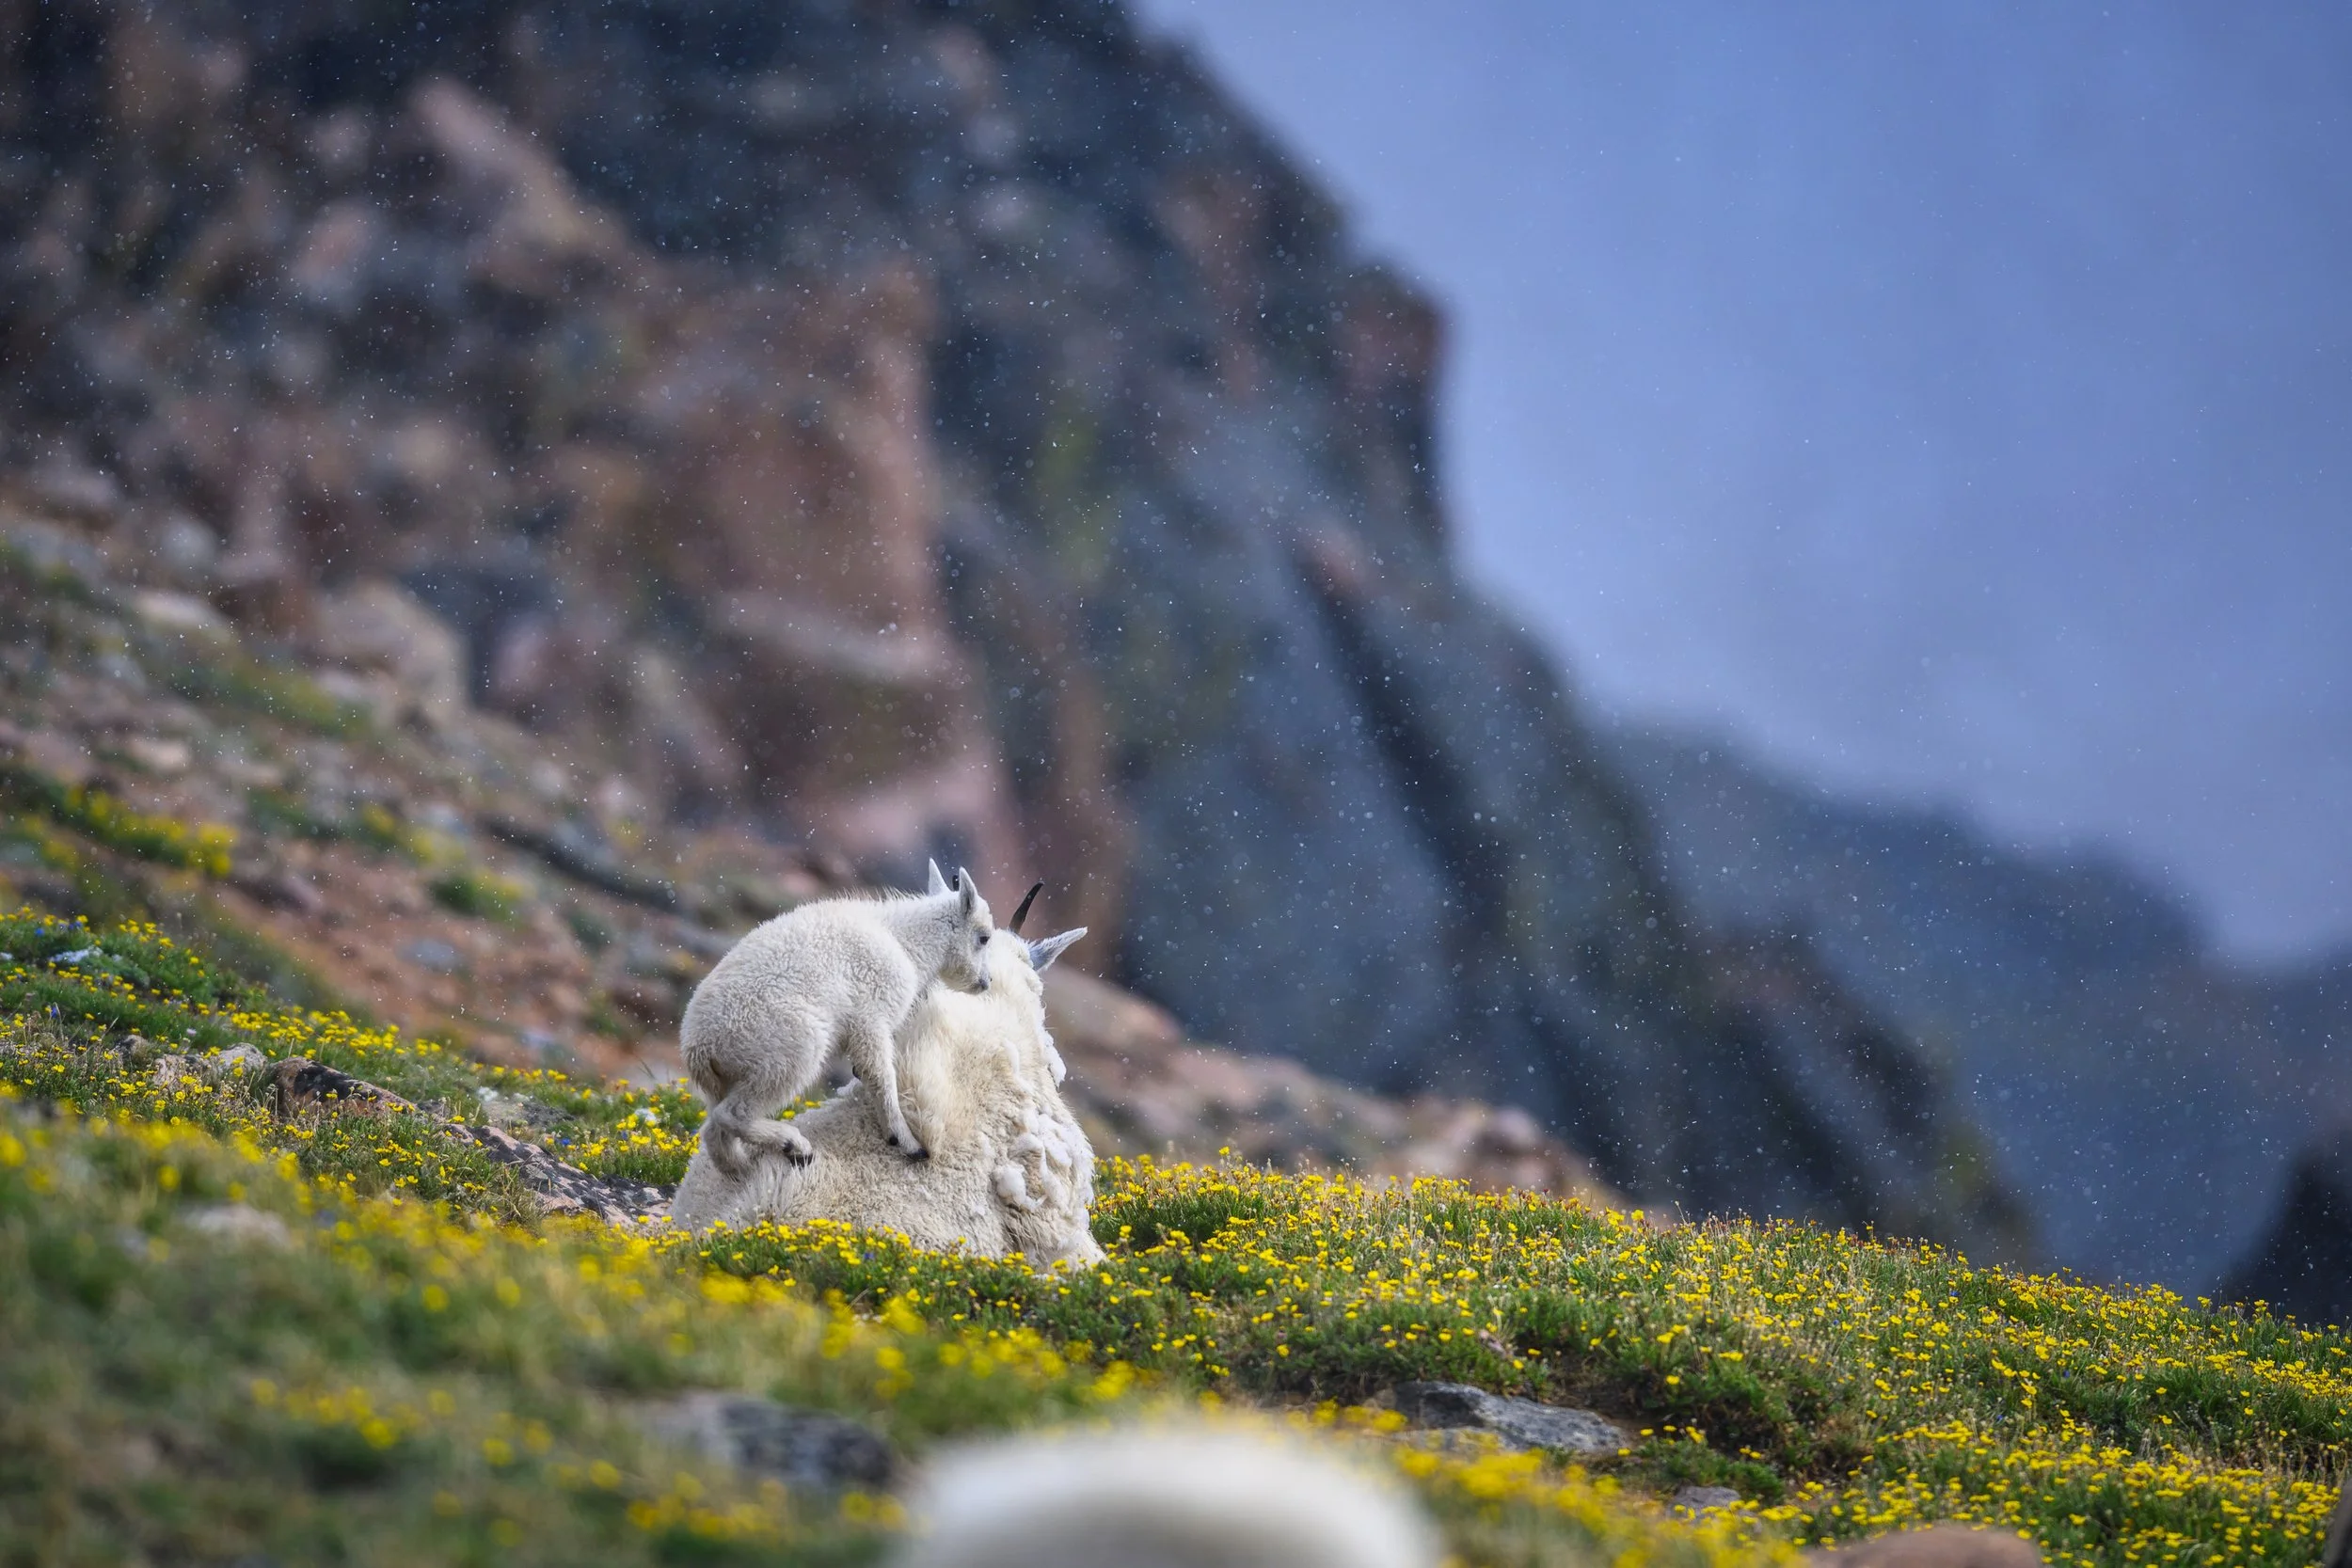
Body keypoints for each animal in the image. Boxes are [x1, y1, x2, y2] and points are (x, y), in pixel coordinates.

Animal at [679, 861, 991, 1175]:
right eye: (984, 937)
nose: (985, 982)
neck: (906, 941)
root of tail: (699, 1049)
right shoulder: (871, 1020)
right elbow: (881, 1077)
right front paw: (907, 1142)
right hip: (786, 1054)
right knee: (732, 1113)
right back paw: (794, 1146)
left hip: (728, 1081)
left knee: (713, 1130)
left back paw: (741, 1170)